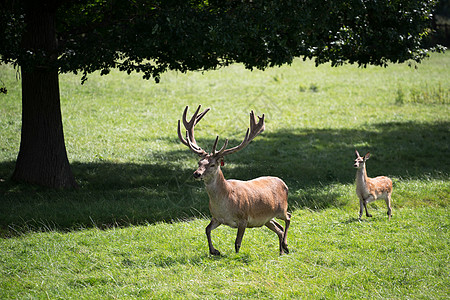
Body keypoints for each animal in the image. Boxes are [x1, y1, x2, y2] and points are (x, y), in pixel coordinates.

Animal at [178, 105, 290, 255]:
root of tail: (284, 183)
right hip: (267, 219)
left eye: (212, 164)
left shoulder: (243, 219)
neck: (225, 205)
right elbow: (207, 229)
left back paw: (285, 244)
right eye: (199, 162)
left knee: (288, 217)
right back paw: (282, 250)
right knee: (279, 229)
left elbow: (237, 243)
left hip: (281, 208)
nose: (196, 174)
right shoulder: (216, 218)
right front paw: (214, 251)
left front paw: (235, 256)